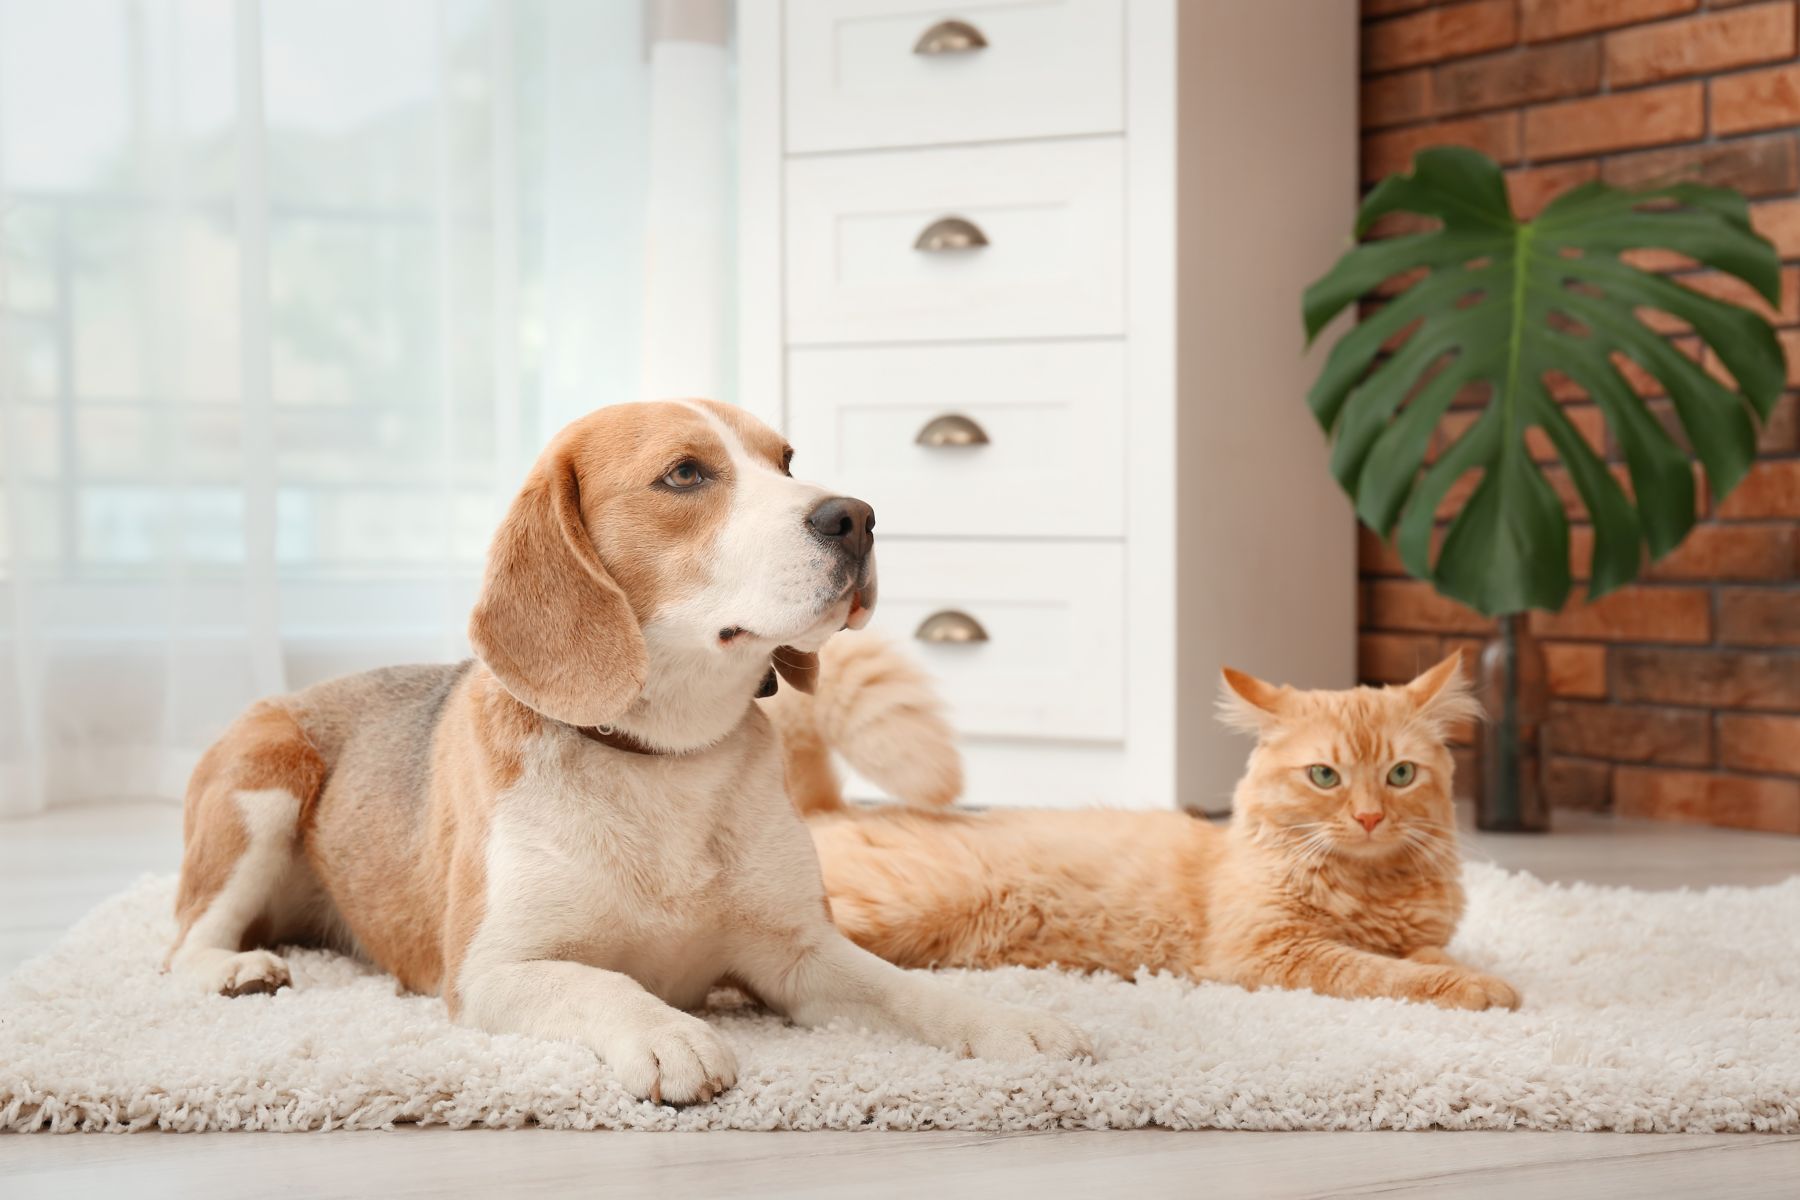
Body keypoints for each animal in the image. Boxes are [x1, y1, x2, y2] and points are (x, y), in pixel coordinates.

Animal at [165, 402, 1080, 1108]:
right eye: (686, 474)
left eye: (786, 461)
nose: (855, 515)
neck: (660, 757)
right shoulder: (491, 971)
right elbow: (604, 981)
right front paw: (669, 1032)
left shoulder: (799, 953)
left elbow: (903, 986)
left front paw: (1003, 1020)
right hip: (264, 790)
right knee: (181, 946)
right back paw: (237, 971)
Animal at [788, 651, 1519, 1007]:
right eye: (1324, 776)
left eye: (1400, 775)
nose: (1369, 817)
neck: (1369, 886)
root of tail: (827, 806)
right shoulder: (1271, 952)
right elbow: (1381, 973)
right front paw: (1478, 990)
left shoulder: (1418, 935)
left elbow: (1428, 958)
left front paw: (1479, 977)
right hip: (890, 908)